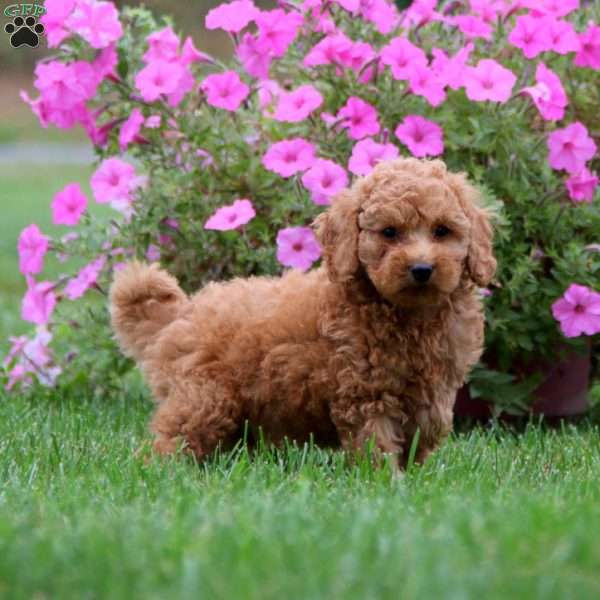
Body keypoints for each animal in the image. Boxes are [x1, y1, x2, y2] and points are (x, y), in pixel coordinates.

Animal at [110, 157, 494, 466]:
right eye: (389, 232)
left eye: (442, 231)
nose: (422, 269)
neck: (409, 315)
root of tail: (179, 315)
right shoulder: (365, 394)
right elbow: (377, 441)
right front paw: (387, 481)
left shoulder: (434, 388)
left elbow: (428, 427)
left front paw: (412, 472)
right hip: (203, 398)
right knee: (171, 440)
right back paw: (162, 471)